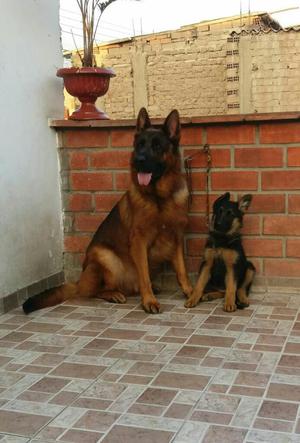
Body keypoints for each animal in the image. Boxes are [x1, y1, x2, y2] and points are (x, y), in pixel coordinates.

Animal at [23, 108, 192, 316]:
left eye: (157, 146)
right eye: (139, 146)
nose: (138, 160)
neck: (159, 198)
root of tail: (79, 281)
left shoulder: (176, 238)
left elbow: (182, 270)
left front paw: (191, 292)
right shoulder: (139, 242)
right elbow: (143, 275)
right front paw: (149, 300)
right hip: (105, 256)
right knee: (95, 290)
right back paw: (114, 294)